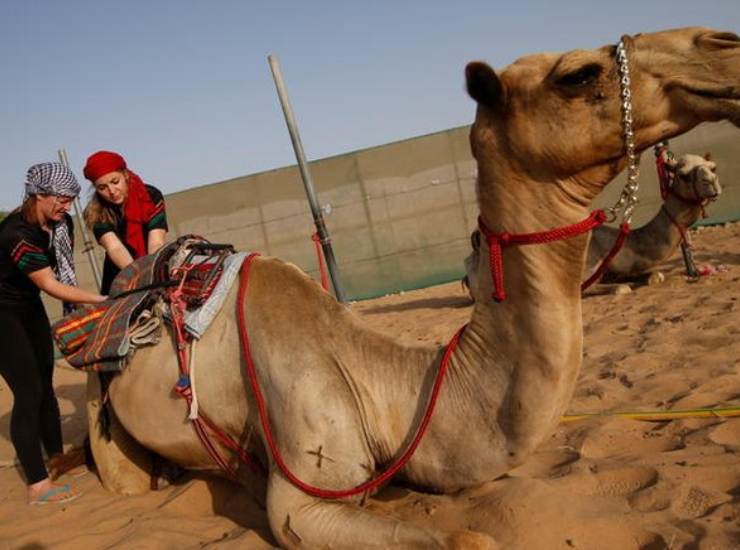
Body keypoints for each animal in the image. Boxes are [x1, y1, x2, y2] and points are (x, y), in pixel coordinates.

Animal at [465, 152, 722, 296]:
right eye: (683, 174)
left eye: (712, 168)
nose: (713, 184)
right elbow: (607, 288)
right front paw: (622, 287)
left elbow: (652, 275)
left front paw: (650, 277)